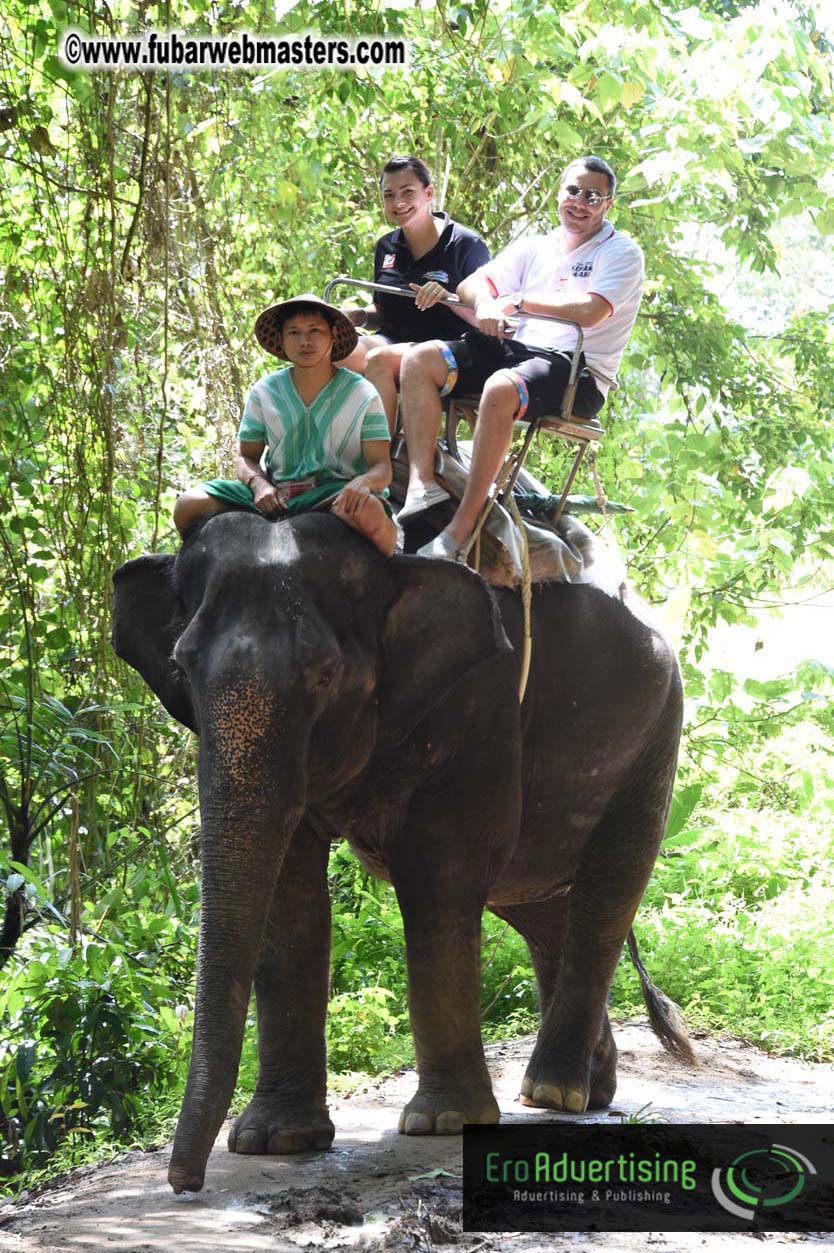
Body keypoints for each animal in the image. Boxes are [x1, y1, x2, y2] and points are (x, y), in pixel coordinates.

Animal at [111, 508, 691, 1195]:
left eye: (325, 675)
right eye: (180, 669)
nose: (185, 1184)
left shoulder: (483, 702)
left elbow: (440, 869)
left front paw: (444, 1123)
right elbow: (290, 891)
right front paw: (272, 1140)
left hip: (657, 733)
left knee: (607, 888)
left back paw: (554, 1092)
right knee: (543, 908)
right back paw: (582, 1091)